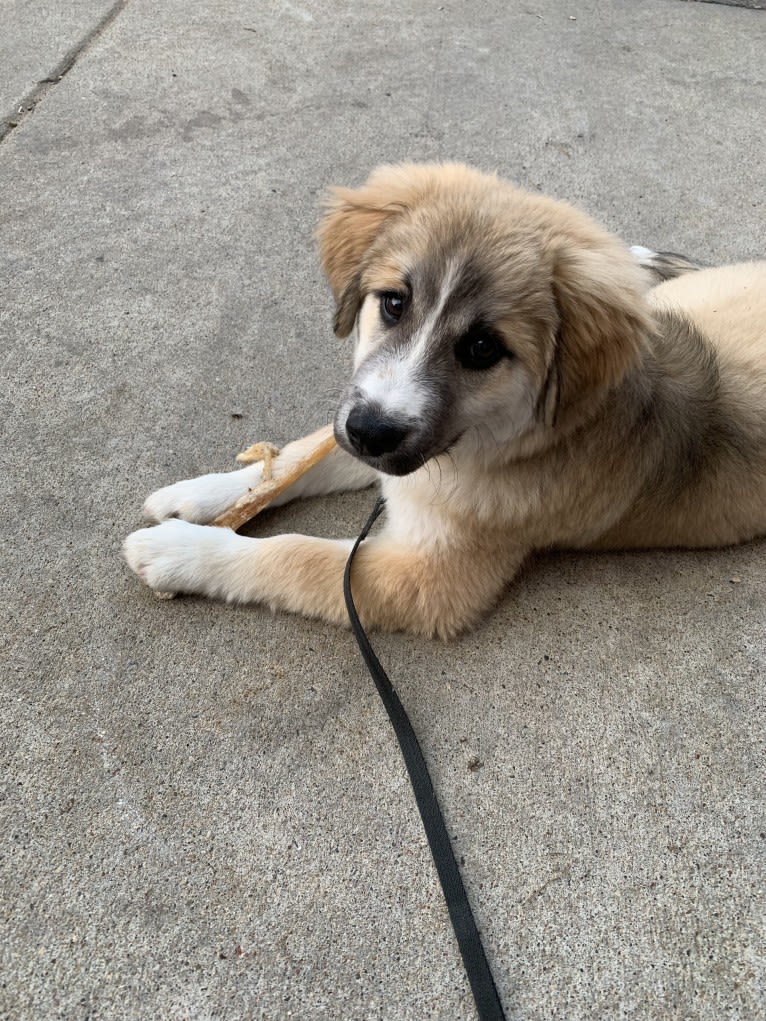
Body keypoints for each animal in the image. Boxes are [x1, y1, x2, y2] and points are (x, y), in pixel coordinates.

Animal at [124, 163, 766, 633]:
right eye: (394, 303)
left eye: (482, 348)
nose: (371, 433)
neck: (503, 445)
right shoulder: (376, 429)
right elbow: (298, 458)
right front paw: (200, 496)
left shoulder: (428, 578)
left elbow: (295, 555)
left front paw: (178, 552)